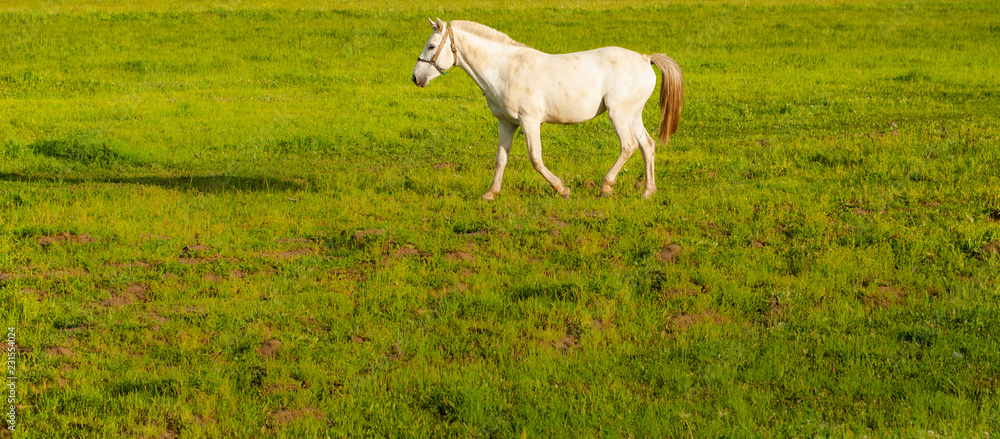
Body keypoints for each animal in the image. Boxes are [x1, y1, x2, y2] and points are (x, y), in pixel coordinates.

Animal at [412, 18, 683, 200]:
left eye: (432, 46)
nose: (415, 78)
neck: (504, 69)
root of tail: (645, 58)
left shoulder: (529, 121)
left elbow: (535, 159)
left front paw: (562, 189)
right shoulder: (506, 123)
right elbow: (501, 158)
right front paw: (491, 193)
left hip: (619, 114)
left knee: (628, 146)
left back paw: (606, 186)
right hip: (633, 115)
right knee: (647, 145)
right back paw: (648, 191)